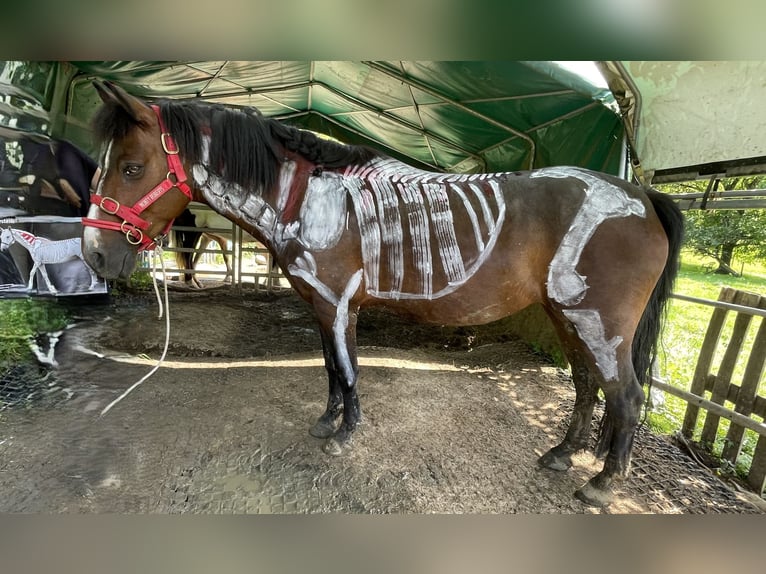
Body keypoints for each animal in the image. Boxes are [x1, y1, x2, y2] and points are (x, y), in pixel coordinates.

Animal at [82, 82, 684, 508]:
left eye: (132, 167)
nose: (94, 256)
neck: (310, 197)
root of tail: (640, 194)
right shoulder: (320, 307)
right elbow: (329, 367)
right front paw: (327, 422)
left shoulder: (336, 303)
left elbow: (348, 370)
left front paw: (345, 434)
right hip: (567, 316)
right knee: (586, 386)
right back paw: (562, 454)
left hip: (598, 322)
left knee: (626, 397)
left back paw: (602, 484)